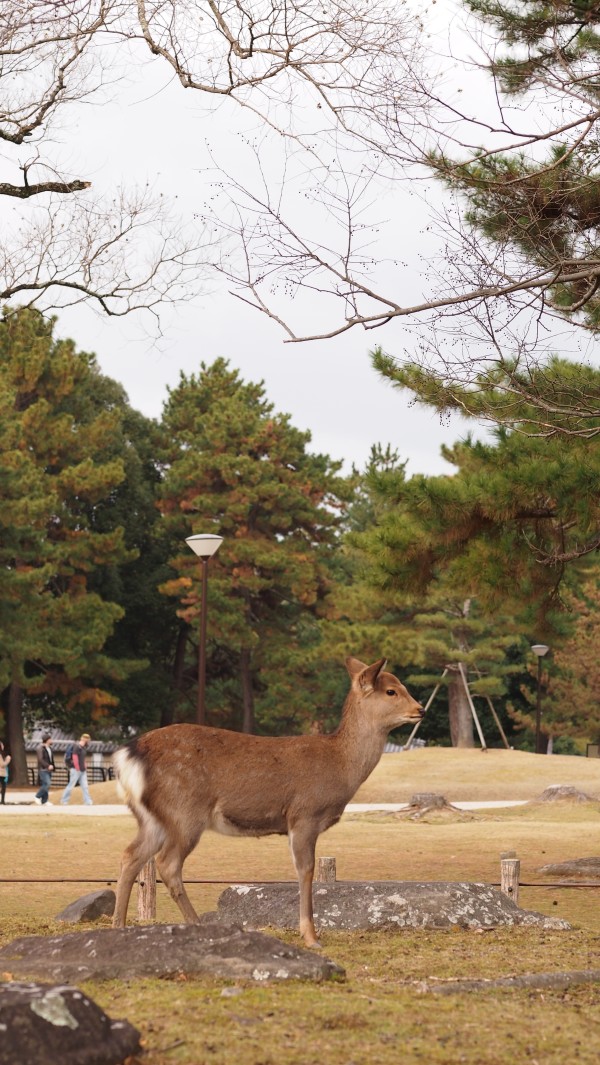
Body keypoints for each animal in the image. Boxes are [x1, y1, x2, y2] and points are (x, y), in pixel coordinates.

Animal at [111, 656, 422, 949]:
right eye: (391, 690)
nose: (421, 709)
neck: (341, 766)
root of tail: (127, 755)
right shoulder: (304, 814)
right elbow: (305, 870)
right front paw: (310, 936)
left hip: (153, 818)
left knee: (131, 855)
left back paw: (119, 927)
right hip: (184, 811)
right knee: (167, 863)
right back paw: (196, 925)